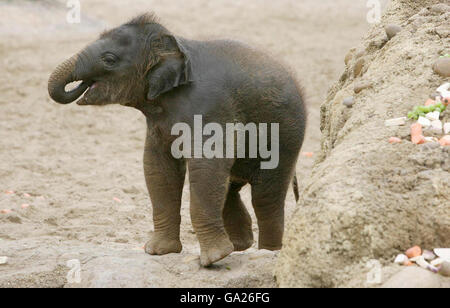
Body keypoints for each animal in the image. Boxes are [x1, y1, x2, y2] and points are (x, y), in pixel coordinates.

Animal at [47, 13, 306, 266]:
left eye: (109, 59)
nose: (81, 86)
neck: (178, 45)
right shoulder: (158, 124)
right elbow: (157, 167)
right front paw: (158, 251)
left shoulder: (210, 108)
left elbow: (205, 165)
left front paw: (214, 259)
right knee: (230, 188)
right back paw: (241, 246)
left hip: (286, 135)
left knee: (265, 196)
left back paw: (268, 252)